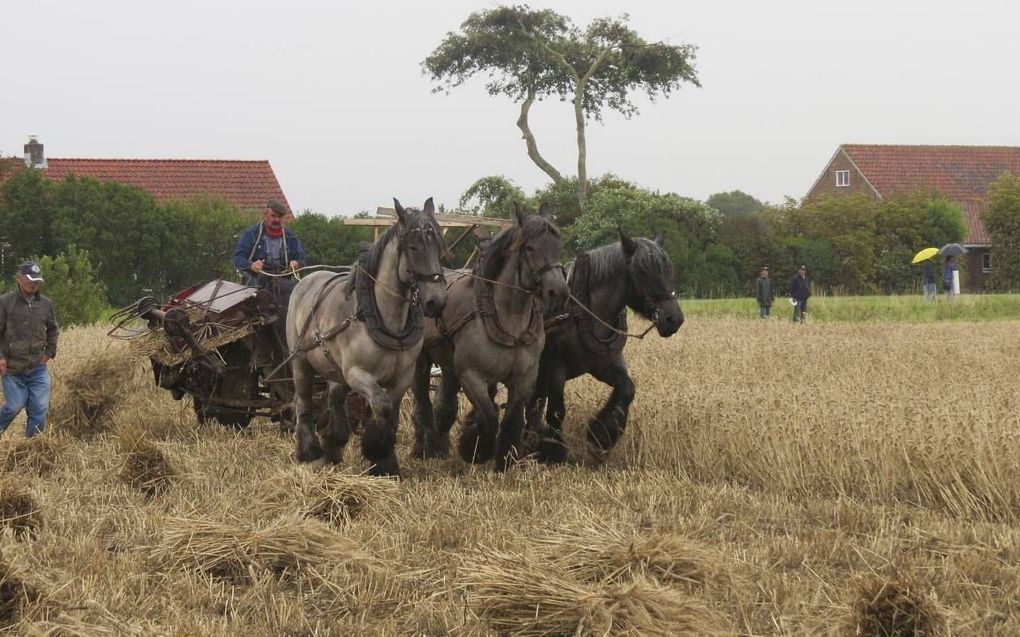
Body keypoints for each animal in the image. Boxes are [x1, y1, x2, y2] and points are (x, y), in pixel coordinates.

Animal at [287, 196, 446, 474]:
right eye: (413, 247)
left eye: (438, 245)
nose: (435, 301)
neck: (388, 320)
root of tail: (305, 280)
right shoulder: (357, 373)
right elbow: (382, 405)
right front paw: (375, 449)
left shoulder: (402, 378)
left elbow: (391, 413)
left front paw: (386, 462)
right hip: (301, 363)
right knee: (303, 403)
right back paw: (310, 451)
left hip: (335, 368)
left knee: (334, 398)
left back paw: (334, 441)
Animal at [410, 200, 571, 468]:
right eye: (530, 247)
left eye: (558, 245)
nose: (558, 292)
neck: (509, 319)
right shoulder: (471, 375)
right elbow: (488, 415)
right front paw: (476, 448)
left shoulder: (525, 377)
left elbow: (512, 418)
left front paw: (505, 458)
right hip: (422, 361)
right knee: (422, 403)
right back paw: (425, 447)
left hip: (449, 365)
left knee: (445, 405)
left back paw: (441, 445)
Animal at [526, 228, 685, 462]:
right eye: (643, 270)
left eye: (668, 269)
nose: (674, 319)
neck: (582, 311)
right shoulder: (555, 366)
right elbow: (556, 410)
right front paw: (554, 451)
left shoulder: (605, 363)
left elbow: (627, 388)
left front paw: (601, 434)